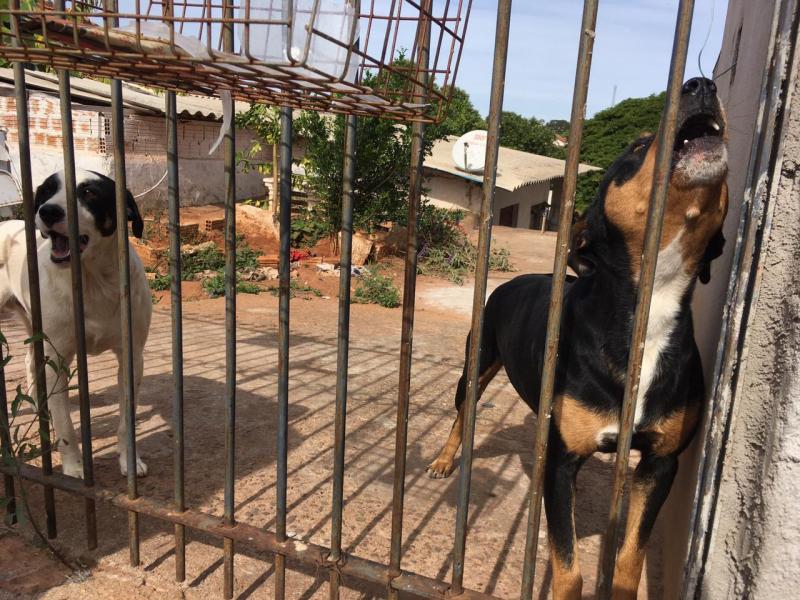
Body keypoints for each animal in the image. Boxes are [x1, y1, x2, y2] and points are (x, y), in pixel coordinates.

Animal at [0, 169, 152, 478]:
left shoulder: (132, 357)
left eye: (90, 193)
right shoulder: (57, 359)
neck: (93, 281)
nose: (48, 211)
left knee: (29, 361)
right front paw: (73, 468)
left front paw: (130, 462)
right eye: (47, 191)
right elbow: (66, 427)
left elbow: (126, 422)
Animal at [428, 77, 728, 596]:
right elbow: (568, 567)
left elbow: (629, 557)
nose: (701, 83)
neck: (649, 307)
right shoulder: (564, 462)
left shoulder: (660, 463)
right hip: (475, 365)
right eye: (638, 147)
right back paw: (446, 460)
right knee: (461, 415)